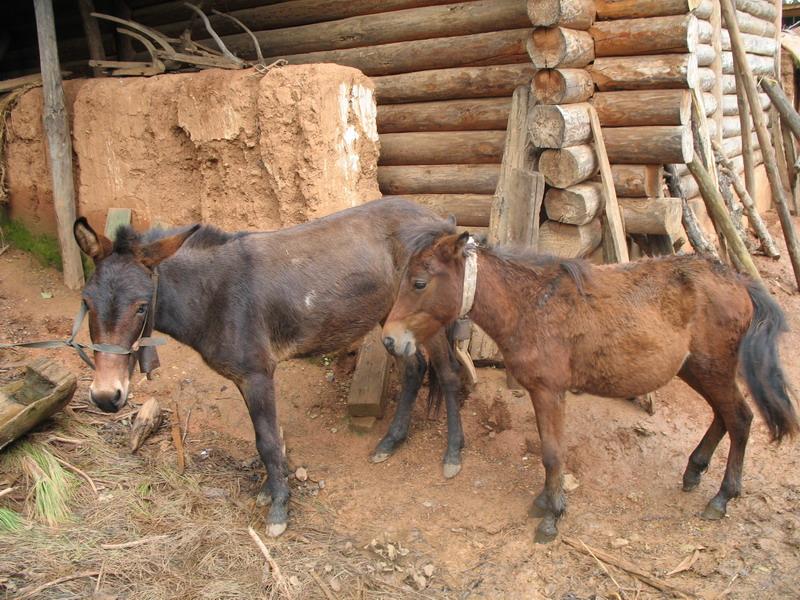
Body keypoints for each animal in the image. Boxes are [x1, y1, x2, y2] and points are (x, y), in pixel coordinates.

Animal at [76, 199, 466, 536]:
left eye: (142, 306)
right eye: (87, 302)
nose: (106, 397)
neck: (213, 295)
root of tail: (439, 218)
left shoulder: (257, 374)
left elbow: (265, 439)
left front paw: (279, 507)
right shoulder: (243, 376)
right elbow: (270, 438)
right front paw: (270, 488)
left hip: (429, 317)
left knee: (448, 374)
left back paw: (453, 454)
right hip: (394, 317)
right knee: (414, 368)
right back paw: (391, 441)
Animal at [380, 231, 792, 544]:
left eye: (419, 283)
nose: (389, 340)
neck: (531, 305)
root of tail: (739, 280)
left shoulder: (550, 391)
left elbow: (552, 454)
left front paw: (553, 515)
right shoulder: (541, 392)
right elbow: (549, 451)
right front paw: (546, 501)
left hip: (713, 369)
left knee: (740, 418)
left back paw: (722, 497)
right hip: (697, 369)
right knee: (724, 416)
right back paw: (695, 470)